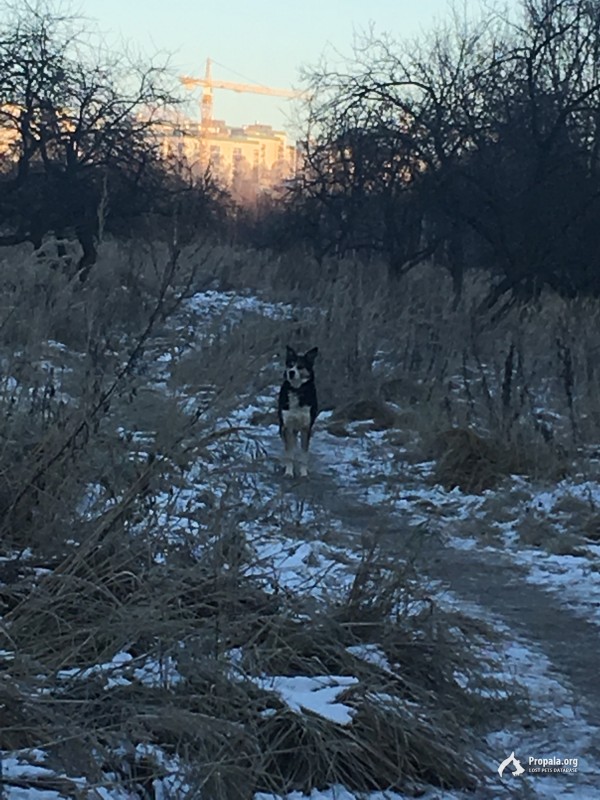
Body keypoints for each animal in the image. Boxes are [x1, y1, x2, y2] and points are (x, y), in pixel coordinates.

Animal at [278, 344, 318, 476]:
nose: (291, 372)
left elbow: (304, 453)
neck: (297, 390)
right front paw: (289, 472)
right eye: (290, 364)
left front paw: (304, 473)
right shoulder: (287, 426)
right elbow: (289, 453)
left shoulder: (306, 427)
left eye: (300, 366)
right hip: (283, 427)